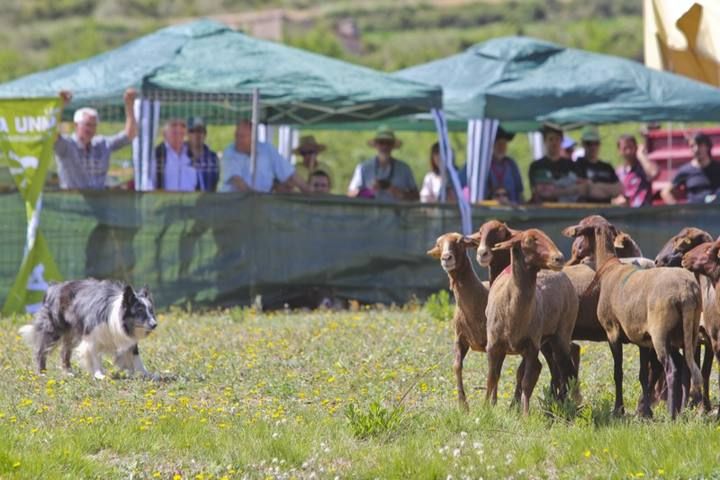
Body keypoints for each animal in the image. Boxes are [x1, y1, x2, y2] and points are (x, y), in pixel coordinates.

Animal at [18, 280, 158, 380]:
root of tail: (53, 287)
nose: (155, 324)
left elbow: (136, 357)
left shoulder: (127, 339)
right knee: (41, 350)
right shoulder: (92, 336)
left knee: (64, 351)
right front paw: (99, 374)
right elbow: (94, 355)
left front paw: (146, 374)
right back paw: (42, 372)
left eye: (151, 311)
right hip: (54, 329)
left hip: (72, 333)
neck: (116, 316)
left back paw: (68, 372)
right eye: (140, 311)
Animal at [428, 234, 490, 410]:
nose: (446, 258)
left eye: (461, 242)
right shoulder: (460, 338)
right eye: (438, 244)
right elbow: (456, 365)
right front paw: (463, 406)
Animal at [564, 217, 704, 416]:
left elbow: (618, 372)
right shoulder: (641, 338)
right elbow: (642, 375)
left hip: (660, 334)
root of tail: (686, 293)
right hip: (686, 333)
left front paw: (619, 409)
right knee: (686, 366)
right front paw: (646, 413)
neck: (609, 266)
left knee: (671, 369)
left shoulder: (612, 332)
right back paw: (679, 409)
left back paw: (672, 414)